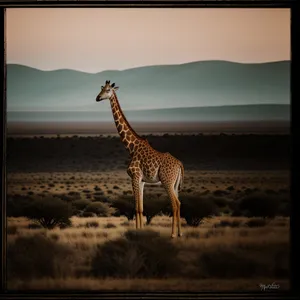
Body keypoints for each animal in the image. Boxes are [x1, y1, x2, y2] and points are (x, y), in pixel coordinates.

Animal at [96, 80, 185, 239]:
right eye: (101, 89)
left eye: (107, 90)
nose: (97, 98)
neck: (131, 148)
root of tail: (179, 164)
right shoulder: (142, 180)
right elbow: (141, 208)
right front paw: (142, 230)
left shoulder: (134, 176)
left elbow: (136, 207)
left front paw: (137, 232)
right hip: (175, 184)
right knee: (179, 203)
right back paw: (180, 233)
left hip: (167, 182)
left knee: (174, 204)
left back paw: (173, 234)